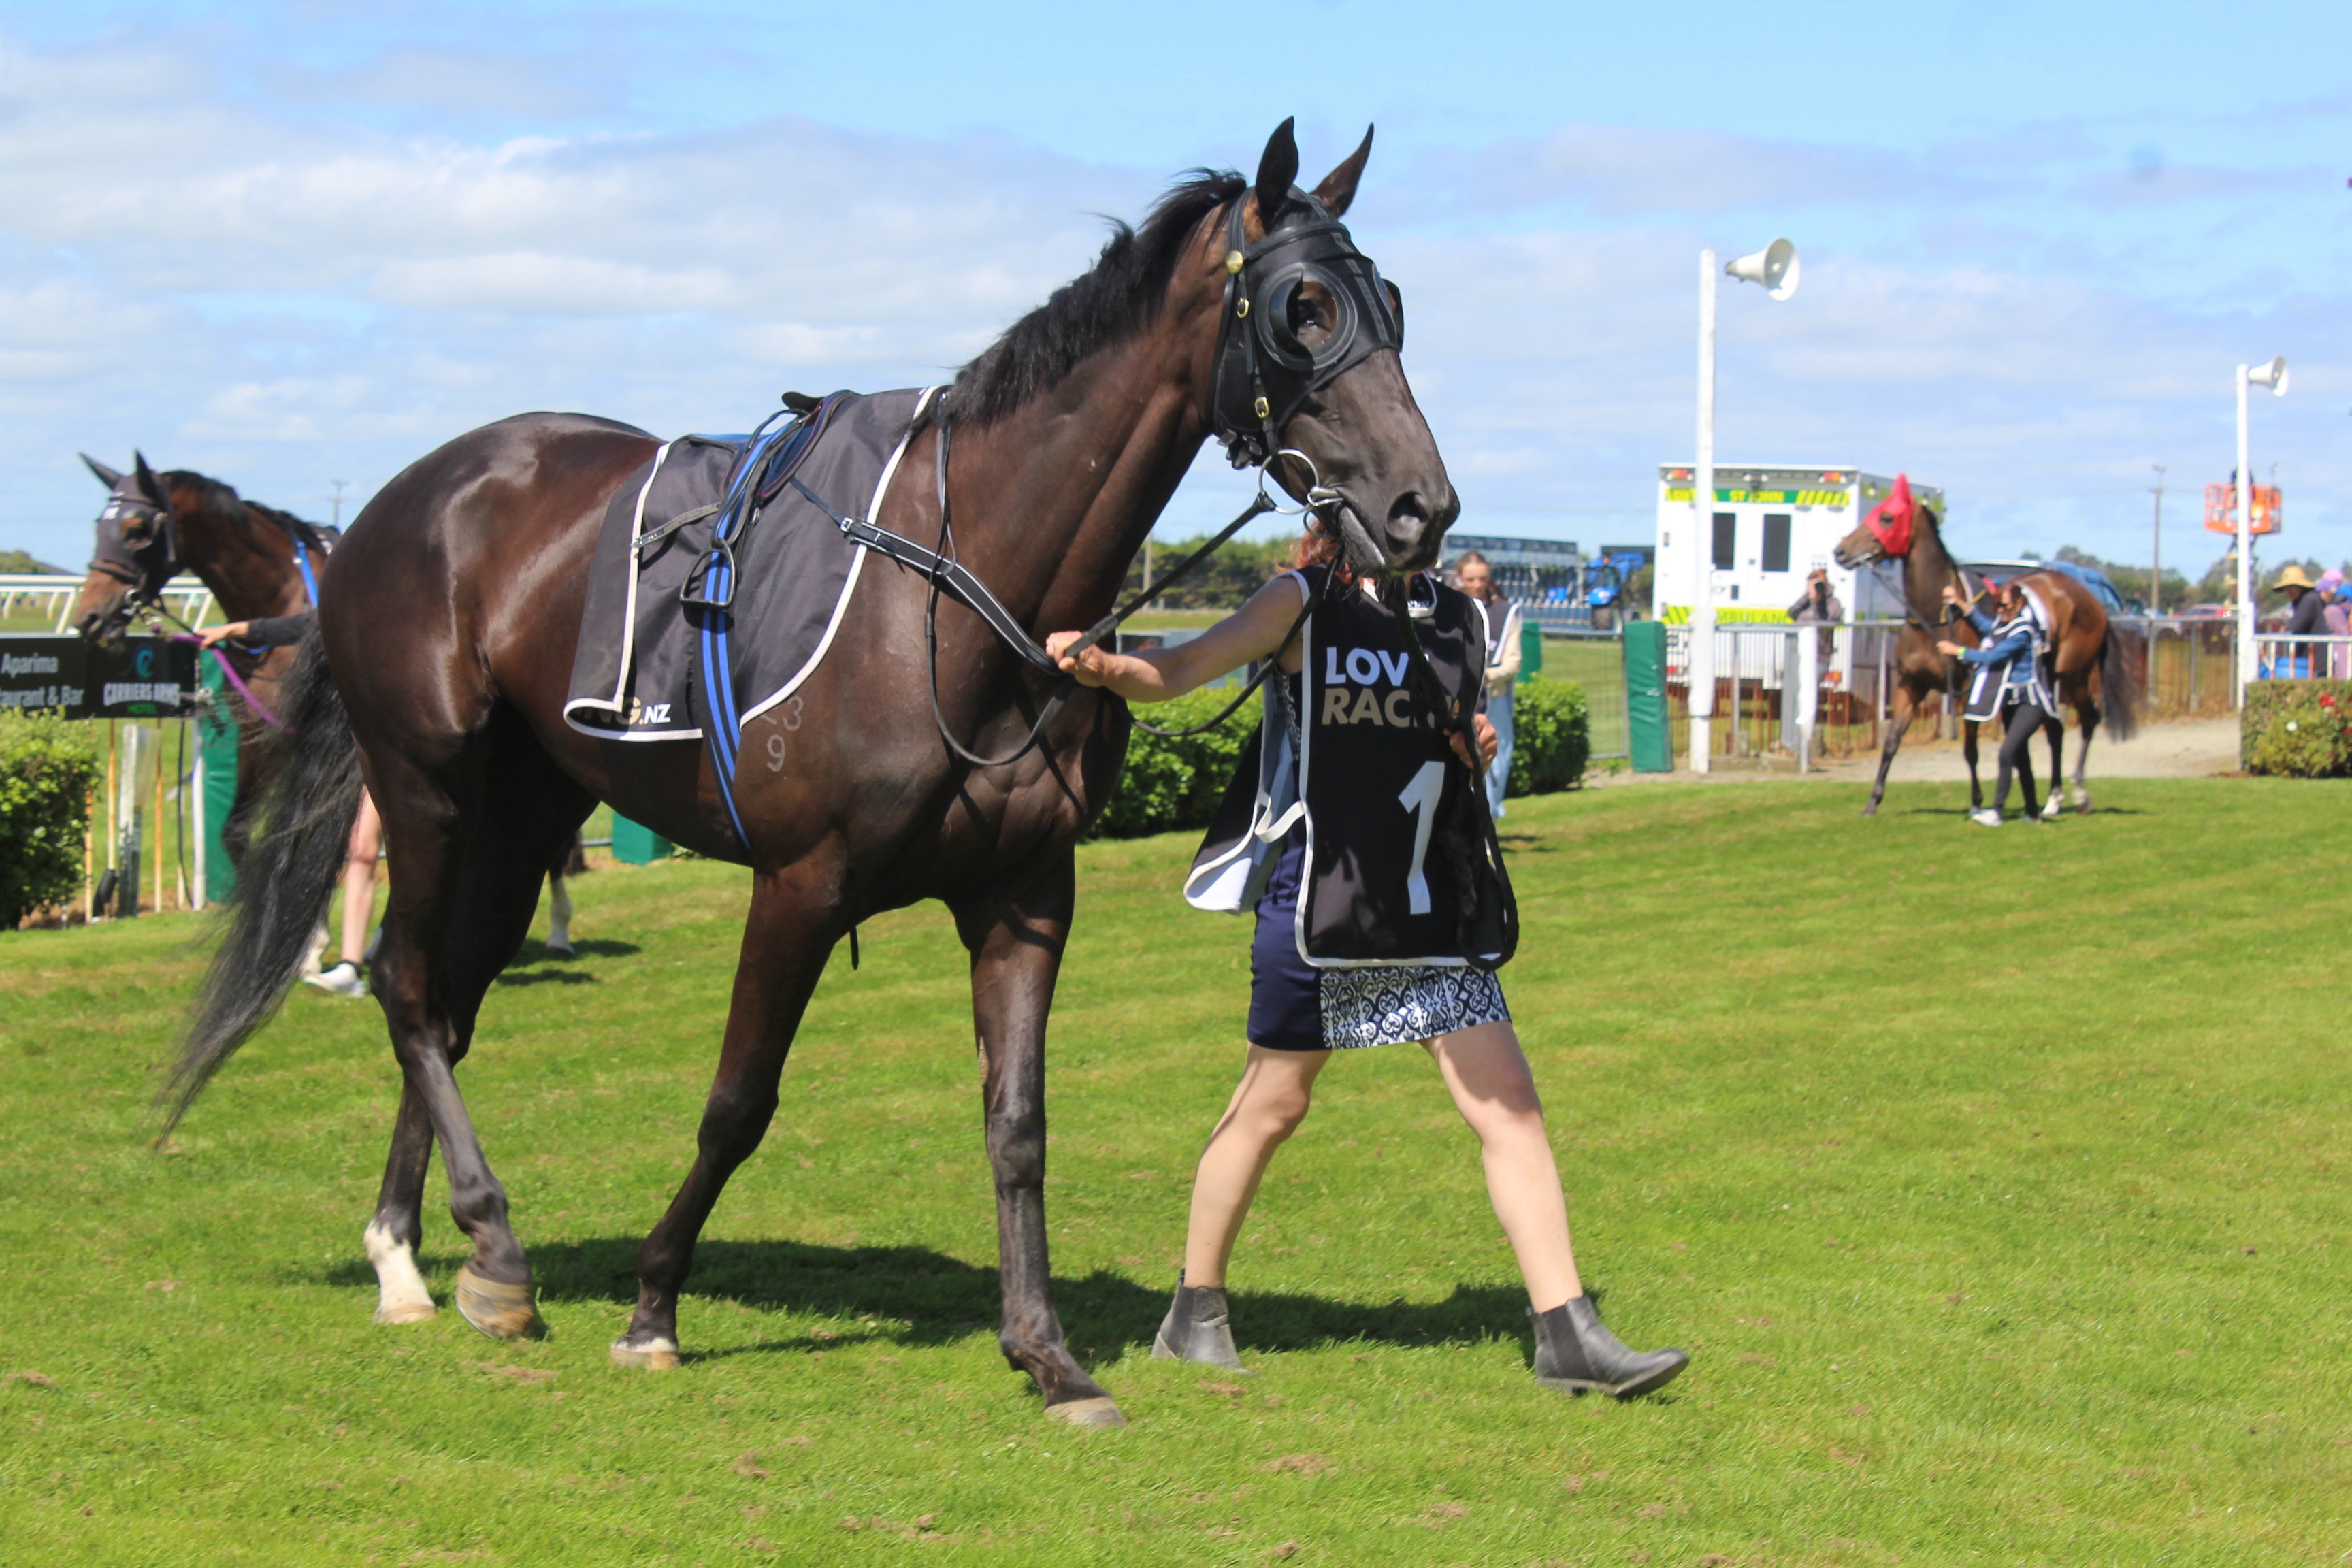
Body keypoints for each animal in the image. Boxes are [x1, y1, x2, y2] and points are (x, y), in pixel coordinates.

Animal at [76, 451, 588, 945]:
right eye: (97, 526)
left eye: (135, 530)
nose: (90, 617)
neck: (284, 596)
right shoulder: (261, 738)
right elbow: (243, 834)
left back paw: (561, 925)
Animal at [161, 116, 1448, 1429]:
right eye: (1300, 308)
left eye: (1388, 300)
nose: (1420, 508)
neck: (960, 586)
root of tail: (388, 510)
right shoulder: (800, 883)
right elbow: (740, 1101)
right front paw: (653, 1307)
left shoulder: (1025, 891)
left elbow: (1018, 1121)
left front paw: (1045, 1353)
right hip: (429, 785)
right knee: (413, 990)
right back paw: (482, 1248)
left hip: (526, 808)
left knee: (451, 1001)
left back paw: (420, 1249)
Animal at [1834, 479, 2154, 822]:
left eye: (1887, 517)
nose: (1841, 550)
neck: (1937, 616)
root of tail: (2091, 600)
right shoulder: (1911, 684)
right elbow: (1892, 741)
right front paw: (1873, 801)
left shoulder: (1969, 691)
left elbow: (1970, 750)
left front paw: (1977, 800)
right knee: (2055, 729)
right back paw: (2053, 798)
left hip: (2075, 674)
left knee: (2089, 720)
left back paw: (2080, 793)